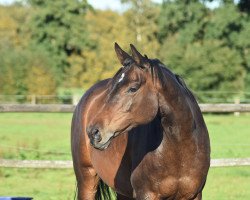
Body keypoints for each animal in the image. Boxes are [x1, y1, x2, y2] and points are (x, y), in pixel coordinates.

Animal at [71, 43, 210, 199]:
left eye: (133, 88)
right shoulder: (146, 194)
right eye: (111, 87)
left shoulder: (194, 194)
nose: (94, 132)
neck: (181, 147)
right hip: (87, 179)